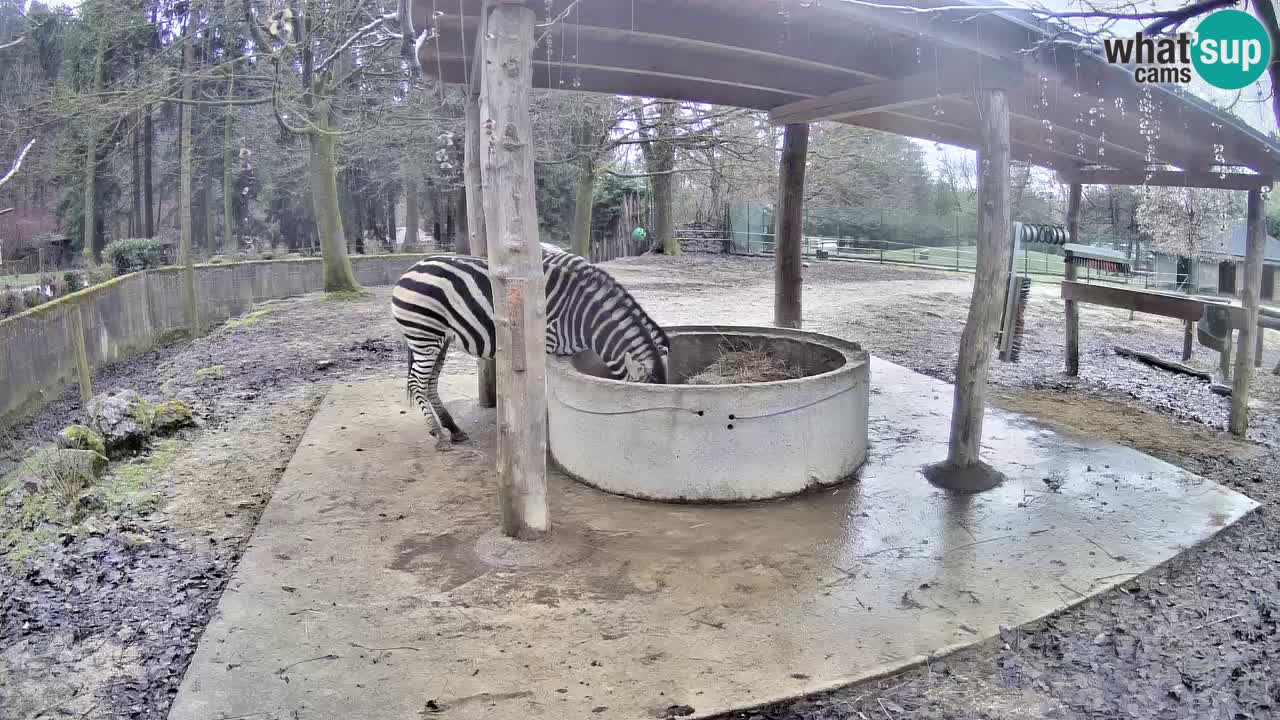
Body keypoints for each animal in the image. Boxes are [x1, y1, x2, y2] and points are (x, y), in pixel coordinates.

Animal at [389, 245, 670, 448]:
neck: (583, 317)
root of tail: (412, 267)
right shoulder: (543, 343)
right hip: (424, 335)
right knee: (417, 382)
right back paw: (438, 434)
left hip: (439, 340)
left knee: (430, 383)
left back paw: (454, 429)